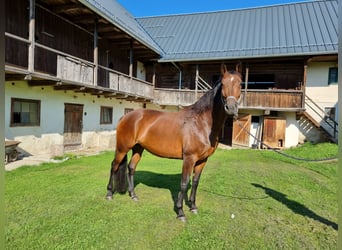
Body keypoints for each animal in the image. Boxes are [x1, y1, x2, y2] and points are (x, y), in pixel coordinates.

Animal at [105, 65, 242, 221]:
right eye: (223, 84)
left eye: (240, 84)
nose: (231, 108)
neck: (201, 123)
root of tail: (126, 116)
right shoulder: (189, 159)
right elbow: (183, 183)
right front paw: (180, 212)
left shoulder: (202, 160)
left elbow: (195, 182)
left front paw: (193, 207)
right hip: (122, 148)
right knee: (114, 166)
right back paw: (109, 194)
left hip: (138, 149)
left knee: (131, 168)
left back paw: (133, 195)